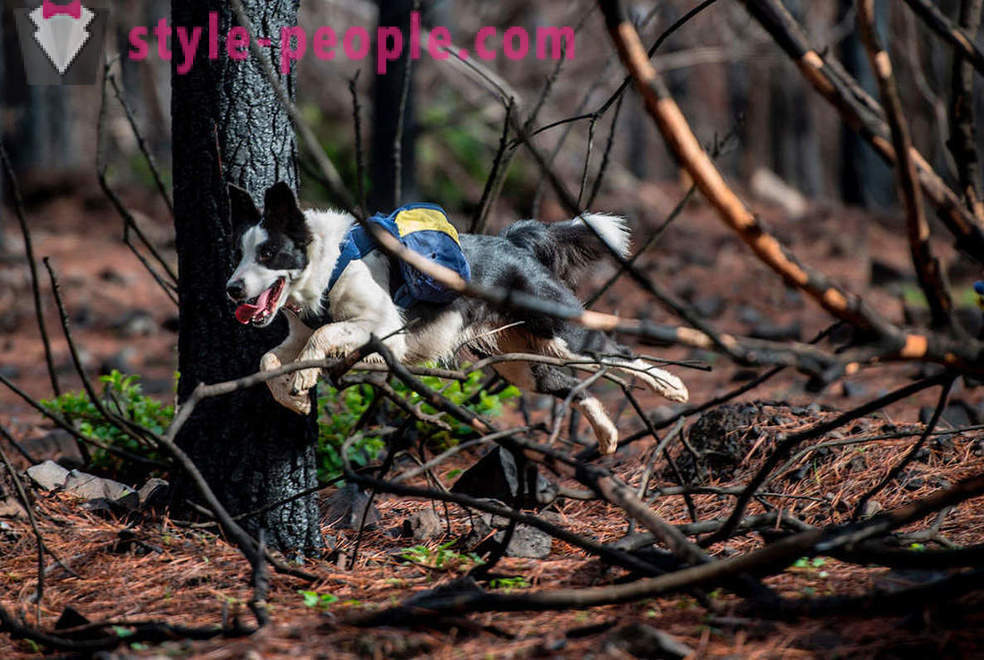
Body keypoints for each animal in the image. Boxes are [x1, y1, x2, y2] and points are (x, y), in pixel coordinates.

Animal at [226, 183, 688, 456]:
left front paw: (304, 380)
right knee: (571, 384)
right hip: (518, 361)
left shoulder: (384, 329)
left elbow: (323, 336)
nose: (231, 289)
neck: (328, 265)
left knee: (619, 354)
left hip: (562, 332)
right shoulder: (295, 337)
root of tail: (514, 242)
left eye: (268, 253)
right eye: (240, 253)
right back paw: (608, 436)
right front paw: (295, 400)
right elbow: (269, 360)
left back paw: (673, 388)